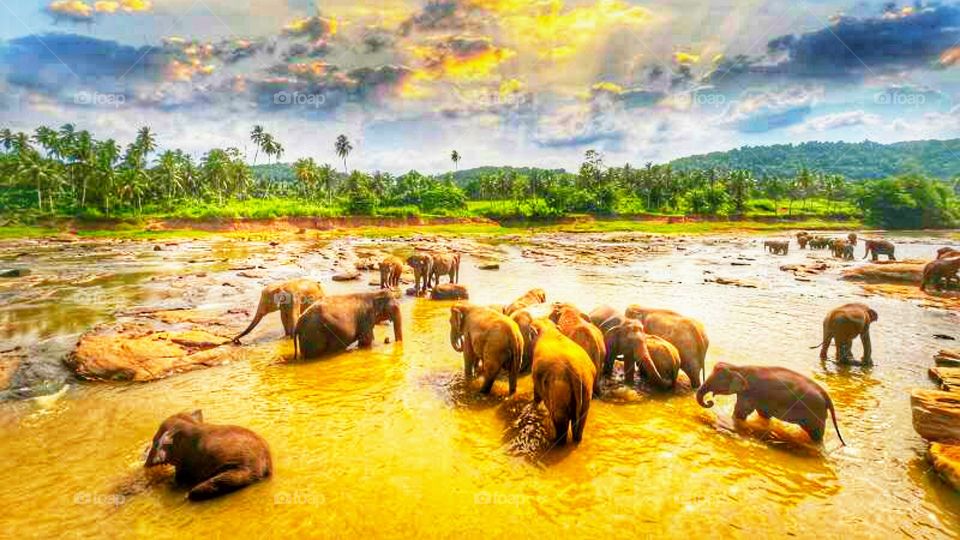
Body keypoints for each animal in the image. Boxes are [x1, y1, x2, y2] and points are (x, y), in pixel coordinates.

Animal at [696, 363, 845, 445]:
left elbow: (740, 412)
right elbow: (763, 414)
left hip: (815, 414)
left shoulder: (749, 393)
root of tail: (825, 395)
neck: (738, 367)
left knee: (816, 433)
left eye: (716, 380)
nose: (710, 402)